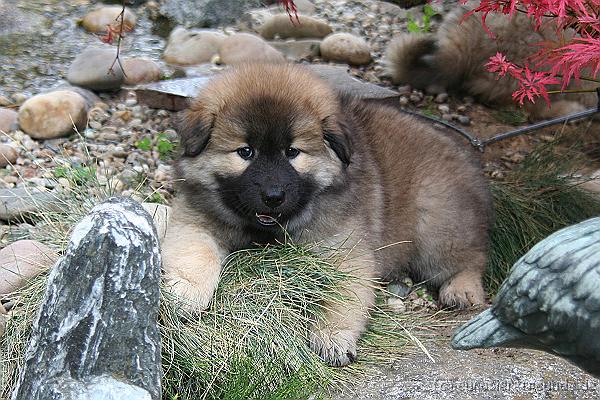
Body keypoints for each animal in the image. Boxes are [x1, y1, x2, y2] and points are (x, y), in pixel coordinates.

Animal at [161, 64, 492, 368]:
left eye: (292, 152)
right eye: (245, 152)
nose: (273, 196)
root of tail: (466, 158)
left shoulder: (344, 251)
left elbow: (343, 297)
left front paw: (334, 336)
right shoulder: (195, 221)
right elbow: (196, 255)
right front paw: (186, 293)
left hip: (435, 227)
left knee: (471, 257)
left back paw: (462, 289)